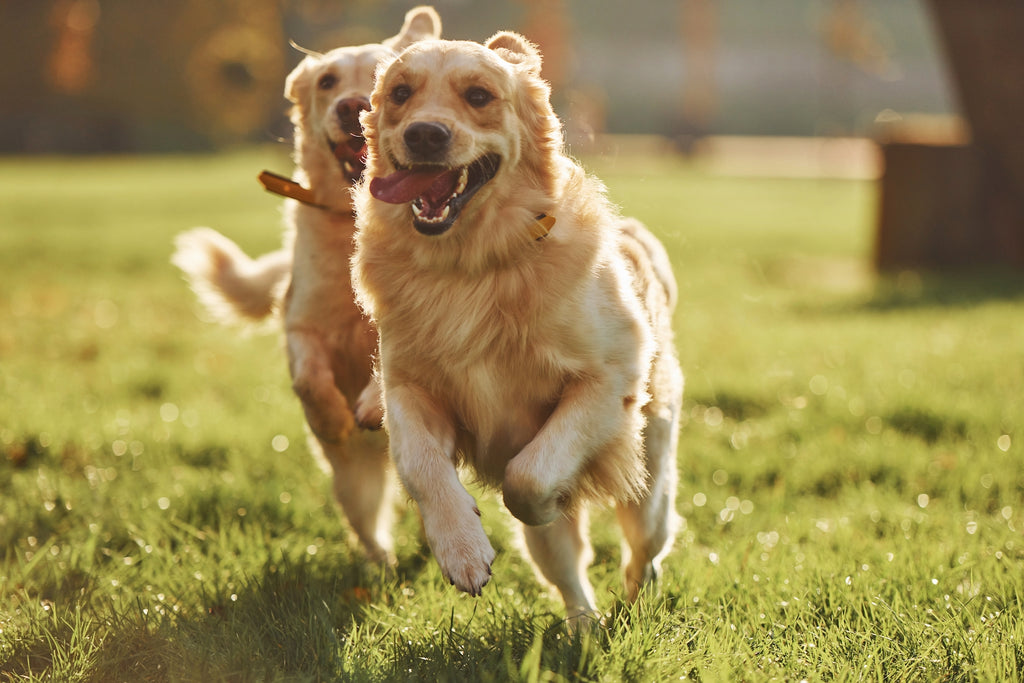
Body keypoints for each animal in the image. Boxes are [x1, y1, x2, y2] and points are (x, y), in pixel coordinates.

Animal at [354, 34, 688, 618]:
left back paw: (635, 597)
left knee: (646, 543)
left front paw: (545, 500)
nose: (424, 134)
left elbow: (527, 478)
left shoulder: (606, 381)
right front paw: (462, 548)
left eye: (479, 95)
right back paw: (586, 627)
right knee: (569, 576)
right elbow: (422, 465)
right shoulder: (410, 388)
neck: (472, 268)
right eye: (399, 93)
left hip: (650, 477)